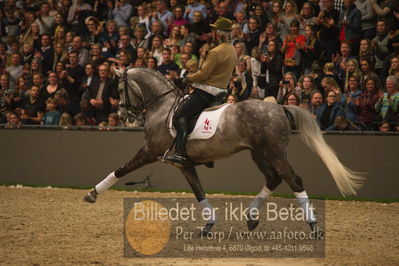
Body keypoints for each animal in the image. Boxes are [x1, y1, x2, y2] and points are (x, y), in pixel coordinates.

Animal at [83, 68, 364, 235]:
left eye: (120, 88)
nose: (123, 116)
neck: (163, 108)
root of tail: (279, 107)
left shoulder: (150, 151)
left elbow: (121, 170)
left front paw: (92, 193)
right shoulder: (185, 164)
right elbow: (199, 192)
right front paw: (208, 225)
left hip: (274, 153)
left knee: (294, 180)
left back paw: (314, 227)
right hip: (259, 154)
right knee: (273, 179)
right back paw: (251, 217)